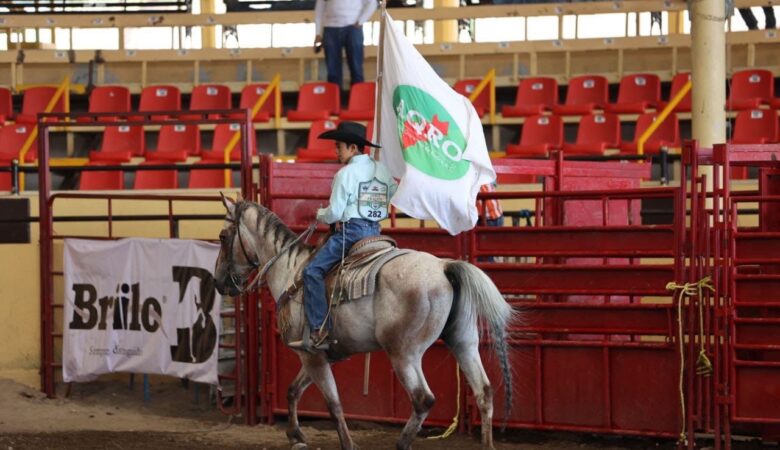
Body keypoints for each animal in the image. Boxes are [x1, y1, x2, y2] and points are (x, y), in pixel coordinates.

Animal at [213, 196, 516, 450]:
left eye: (223, 236)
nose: (219, 282)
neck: (291, 272)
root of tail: (444, 267)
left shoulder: (311, 356)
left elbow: (333, 403)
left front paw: (346, 443)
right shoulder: (317, 356)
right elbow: (292, 390)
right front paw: (296, 436)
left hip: (404, 353)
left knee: (423, 399)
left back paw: (401, 444)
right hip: (463, 342)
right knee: (484, 391)